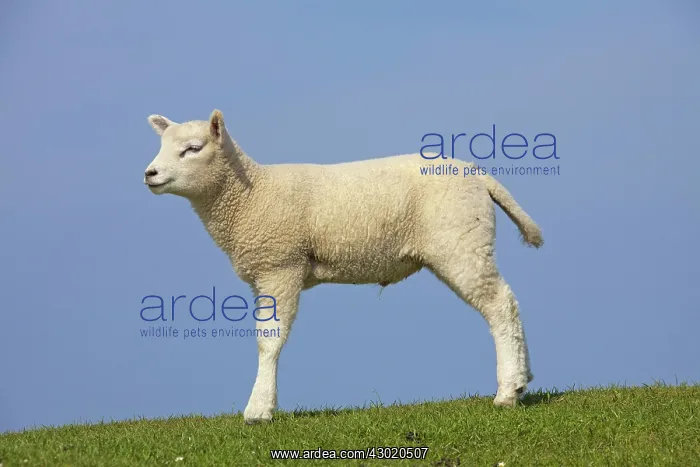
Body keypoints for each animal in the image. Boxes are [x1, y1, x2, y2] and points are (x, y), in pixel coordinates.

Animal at [144, 109, 544, 424]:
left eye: (193, 149)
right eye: (163, 146)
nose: (150, 173)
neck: (249, 193)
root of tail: (478, 174)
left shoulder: (281, 266)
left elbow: (269, 340)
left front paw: (258, 410)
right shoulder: (263, 273)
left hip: (461, 243)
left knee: (500, 305)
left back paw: (508, 390)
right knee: (505, 303)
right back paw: (522, 380)